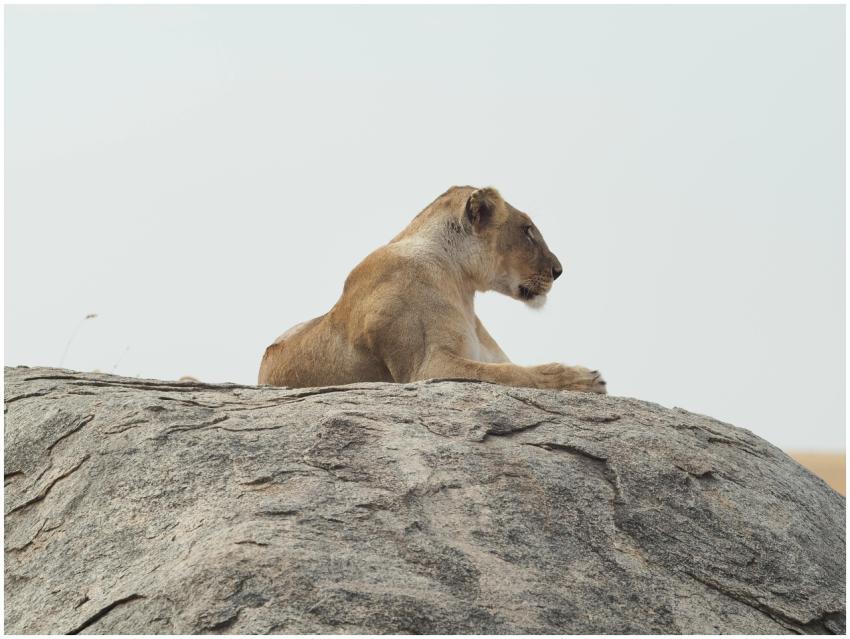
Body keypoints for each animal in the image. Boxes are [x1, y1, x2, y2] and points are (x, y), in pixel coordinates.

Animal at [258, 186, 606, 393]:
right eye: (527, 231)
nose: (559, 271)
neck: (462, 284)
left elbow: (510, 367)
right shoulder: (424, 369)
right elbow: (512, 374)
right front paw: (581, 378)